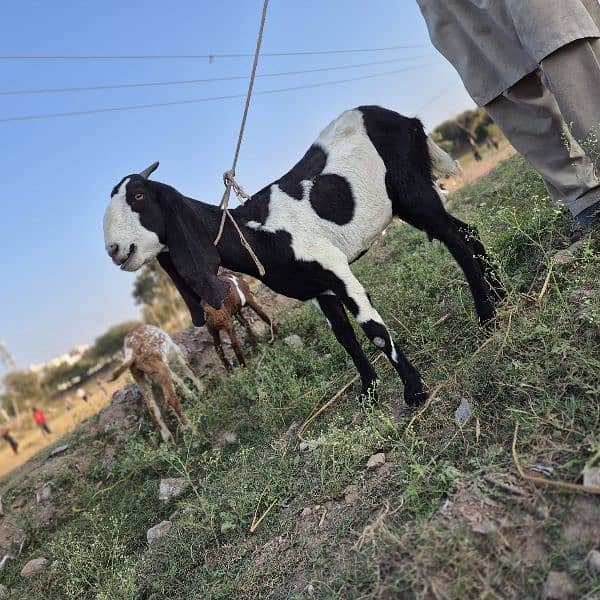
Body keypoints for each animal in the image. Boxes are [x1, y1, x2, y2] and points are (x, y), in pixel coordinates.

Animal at [105, 105, 504, 406]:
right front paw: (369, 392)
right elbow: (344, 337)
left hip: (413, 192)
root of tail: (404, 119)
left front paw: (415, 391)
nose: (114, 250)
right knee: (467, 232)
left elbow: (372, 328)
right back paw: (499, 297)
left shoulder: (335, 268)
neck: (257, 231)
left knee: (457, 242)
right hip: (409, 203)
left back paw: (487, 317)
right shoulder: (317, 289)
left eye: (138, 196)